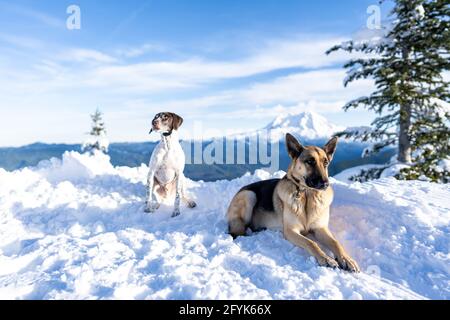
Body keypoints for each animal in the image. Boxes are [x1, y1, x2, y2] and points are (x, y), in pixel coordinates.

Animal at [227, 134, 360, 272]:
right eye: (310, 161)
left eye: (325, 163)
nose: (325, 184)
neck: (307, 194)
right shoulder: (291, 231)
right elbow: (311, 243)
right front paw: (326, 259)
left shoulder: (320, 228)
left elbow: (335, 243)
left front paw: (346, 259)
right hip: (249, 195)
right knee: (238, 228)